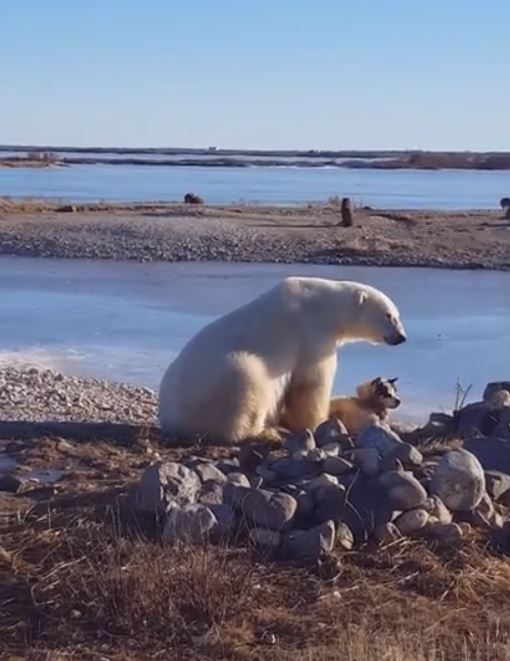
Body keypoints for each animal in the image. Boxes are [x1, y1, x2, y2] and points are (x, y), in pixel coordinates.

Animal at [159, 276, 406, 440]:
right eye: (389, 316)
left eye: (397, 315)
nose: (402, 337)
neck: (325, 305)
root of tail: (169, 418)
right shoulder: (311, 332)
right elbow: (311, 383)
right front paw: (317, 421)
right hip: (218, 381)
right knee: (247, 380)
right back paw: (266, 431)